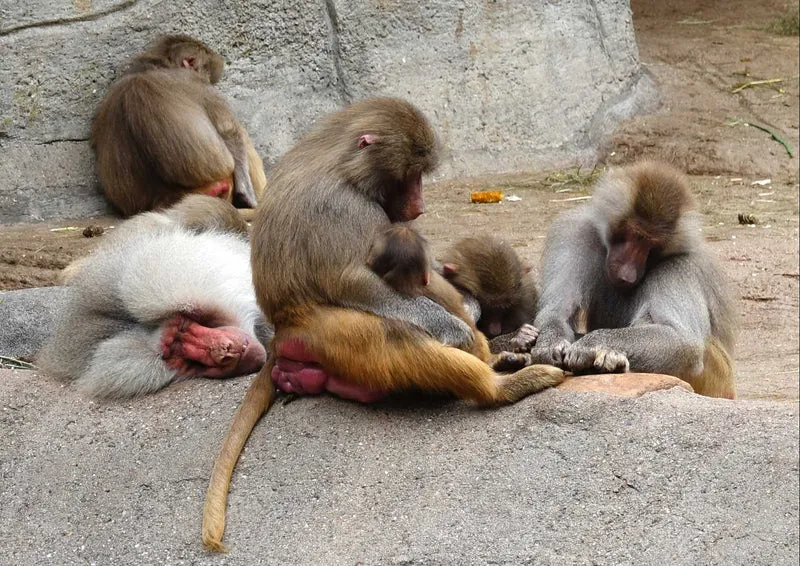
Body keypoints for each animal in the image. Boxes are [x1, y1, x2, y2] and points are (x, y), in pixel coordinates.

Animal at [91, 34, 267, 217]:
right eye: (207, 76)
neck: (158, 65)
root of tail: (167, 198)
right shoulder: (197, 84)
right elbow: (229, 131)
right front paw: (248, 196)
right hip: (221, 185)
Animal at [501, 161, 737, 399]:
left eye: (651, 245)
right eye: (633, 235)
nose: (627, 274)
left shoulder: (678, 266)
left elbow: (684, 342)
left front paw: (590, 345)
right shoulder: (575, 233)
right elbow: (557, 310)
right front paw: (549, 346)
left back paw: (609, 362)